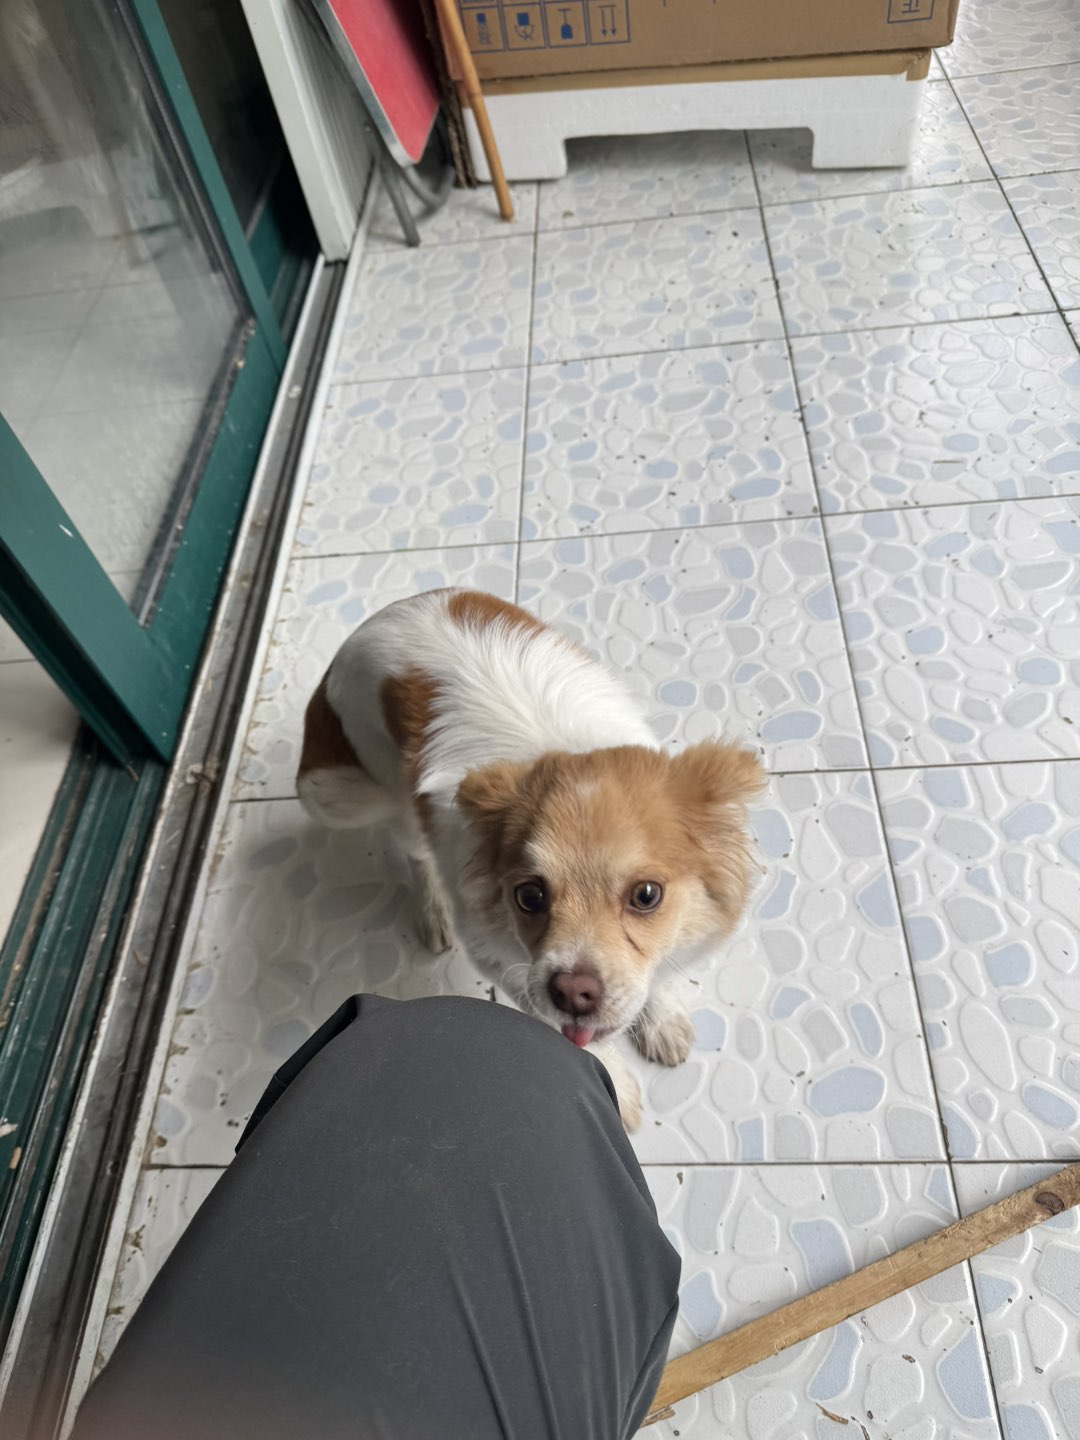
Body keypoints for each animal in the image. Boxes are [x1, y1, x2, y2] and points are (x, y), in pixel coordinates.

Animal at [296, 589, 764, 1128]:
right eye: (530, 897)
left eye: (647, 896)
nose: (574, 991)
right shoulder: (500, 957)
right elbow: (556, 1025)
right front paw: (615, 1085)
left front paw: (659, 1018)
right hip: (374, 790)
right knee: (413, 848)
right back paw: (432, 911)